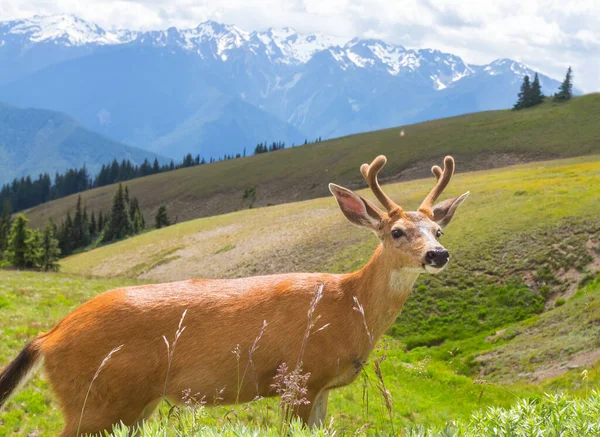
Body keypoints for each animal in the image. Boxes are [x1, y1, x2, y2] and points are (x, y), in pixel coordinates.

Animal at [0, 153, 468, 432]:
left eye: (438, 230)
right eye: (397, 231)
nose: (438, 254)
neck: (347, 306)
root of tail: (48, 338)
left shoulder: (320, 389)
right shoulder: (298, 376)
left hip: (124, 406)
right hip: (94, 401)